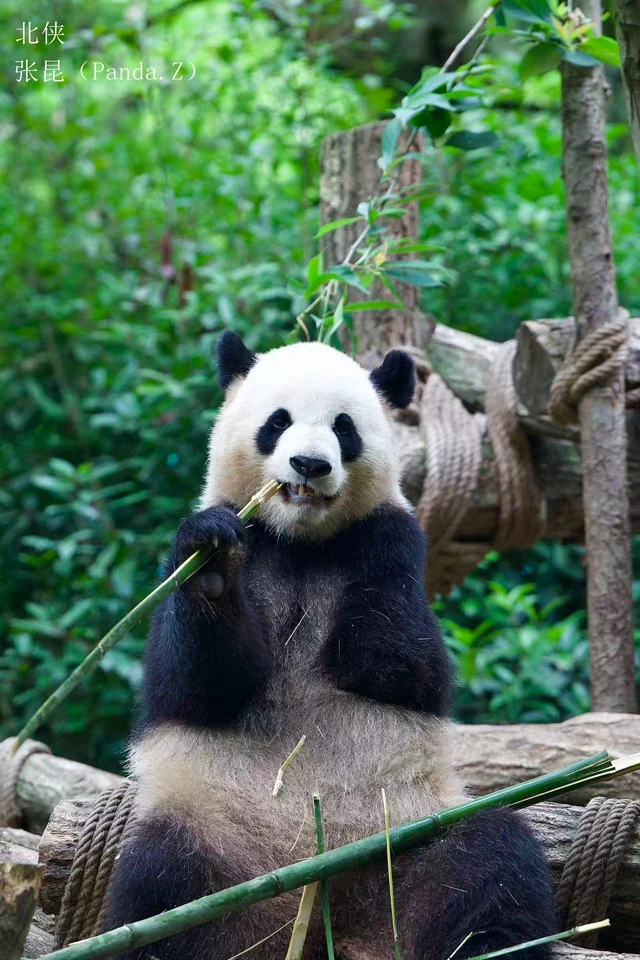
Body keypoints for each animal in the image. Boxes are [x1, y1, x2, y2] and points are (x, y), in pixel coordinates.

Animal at [105, 331, 554, 960]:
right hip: (213, 837)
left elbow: (404, 666)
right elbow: (194, 685)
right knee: (160, 886)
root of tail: (314, 913)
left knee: (488, 861)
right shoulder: (227, 551)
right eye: (278, 422)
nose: (310, 465)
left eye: (345, 428)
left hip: (411, 837)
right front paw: (213, 567)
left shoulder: (390, 549)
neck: (301, 543)